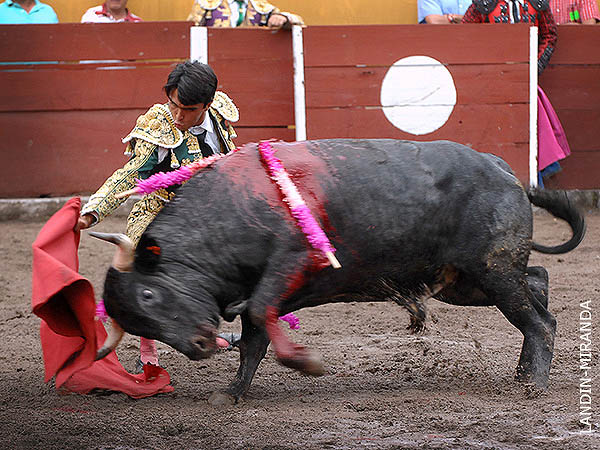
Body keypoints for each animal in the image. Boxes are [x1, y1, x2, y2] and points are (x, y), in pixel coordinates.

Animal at [90, 139, 585, 404]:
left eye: (149, 295)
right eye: (137, 322)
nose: (198, 347)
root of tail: (501, 167)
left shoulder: (289, 265)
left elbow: (262, 317)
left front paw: (307, 363)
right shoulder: (254, 292)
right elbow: (253, 340)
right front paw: (232, 391)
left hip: (492, 270)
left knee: (539, 319)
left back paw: (533, 383)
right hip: (465, 281)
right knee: (539, 283)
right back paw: (523, 370)